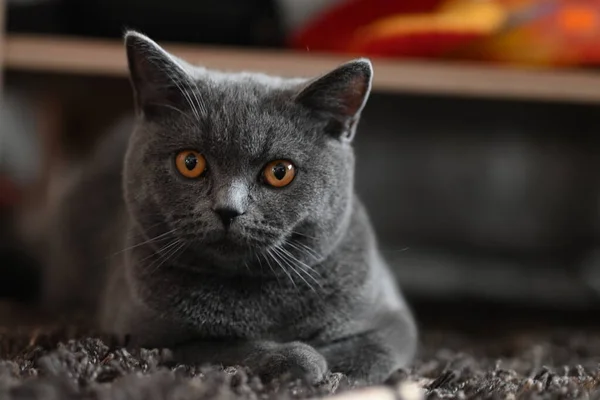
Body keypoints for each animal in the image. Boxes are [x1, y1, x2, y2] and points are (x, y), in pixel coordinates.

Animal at [35, 31, 418, 388]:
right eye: (190, 162)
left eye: (280, 171)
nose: (228, 209)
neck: (256, 298)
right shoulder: (144, 336)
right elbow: (224, 346)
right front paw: (302, 361)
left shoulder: (392, 318)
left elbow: (372, 349)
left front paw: (336, 374)